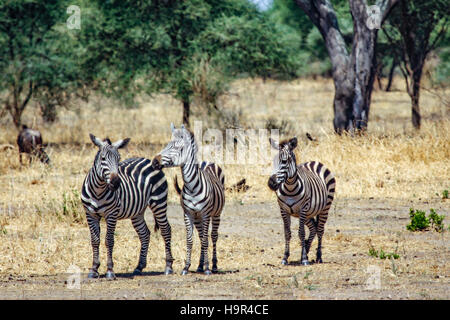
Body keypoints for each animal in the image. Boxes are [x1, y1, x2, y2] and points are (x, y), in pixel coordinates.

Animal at [81, 134, 174, 278]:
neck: (98, 191)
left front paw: (110, 271)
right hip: (137, 212)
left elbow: (109, 240)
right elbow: (95, 240)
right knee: (145, 234)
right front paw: (94, 269)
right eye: (103, 158)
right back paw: (139, 267)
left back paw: (168, 266)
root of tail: (148, 160)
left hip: (159, 202)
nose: (115, 182)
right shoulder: (90, 214)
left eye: (119, 159)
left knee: (166, 230)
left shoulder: (111, 214)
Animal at [152, 123, 225, 276]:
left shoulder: (205, 214)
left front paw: (208, 269)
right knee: (201, 236)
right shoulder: (188, 214)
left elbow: (205, 240)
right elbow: (190, 240)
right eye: (167, 144)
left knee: (213, 236)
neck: (192, 186)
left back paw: (214, 265)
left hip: (216, 214)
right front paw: (186, 267)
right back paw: (200, 266)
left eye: (177, 148)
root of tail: (208, 161)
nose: (154, 161)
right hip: (198, 218)